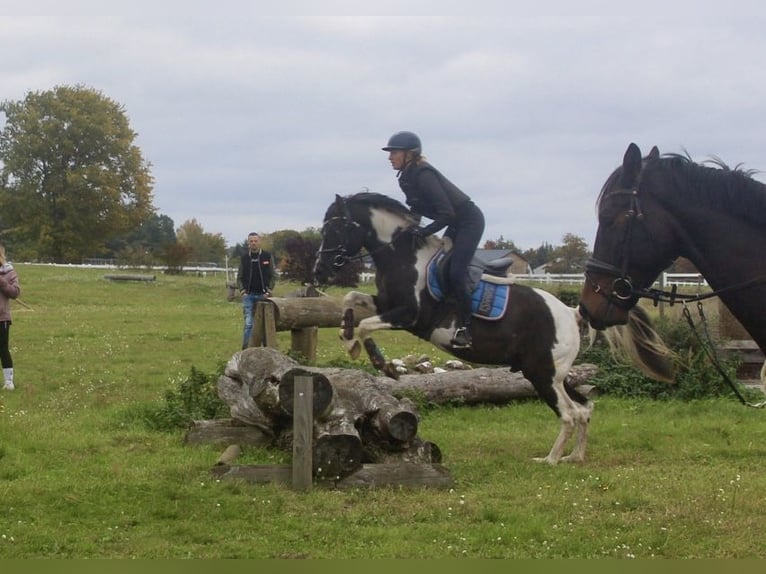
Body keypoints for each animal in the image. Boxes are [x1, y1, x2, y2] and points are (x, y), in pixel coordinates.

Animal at [313, 192, 668, 464]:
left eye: (336, 228)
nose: (319, 270)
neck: (402, 255)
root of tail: (571, 313)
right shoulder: (386, 304)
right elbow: (352, 300)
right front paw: (349, 340)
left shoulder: (409, 315)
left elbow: (366, 325)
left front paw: (378, 361)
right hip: (553, 374)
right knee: (584, 408)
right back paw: (575, 457)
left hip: (542, 375)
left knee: (569, 414)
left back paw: (550, 460)